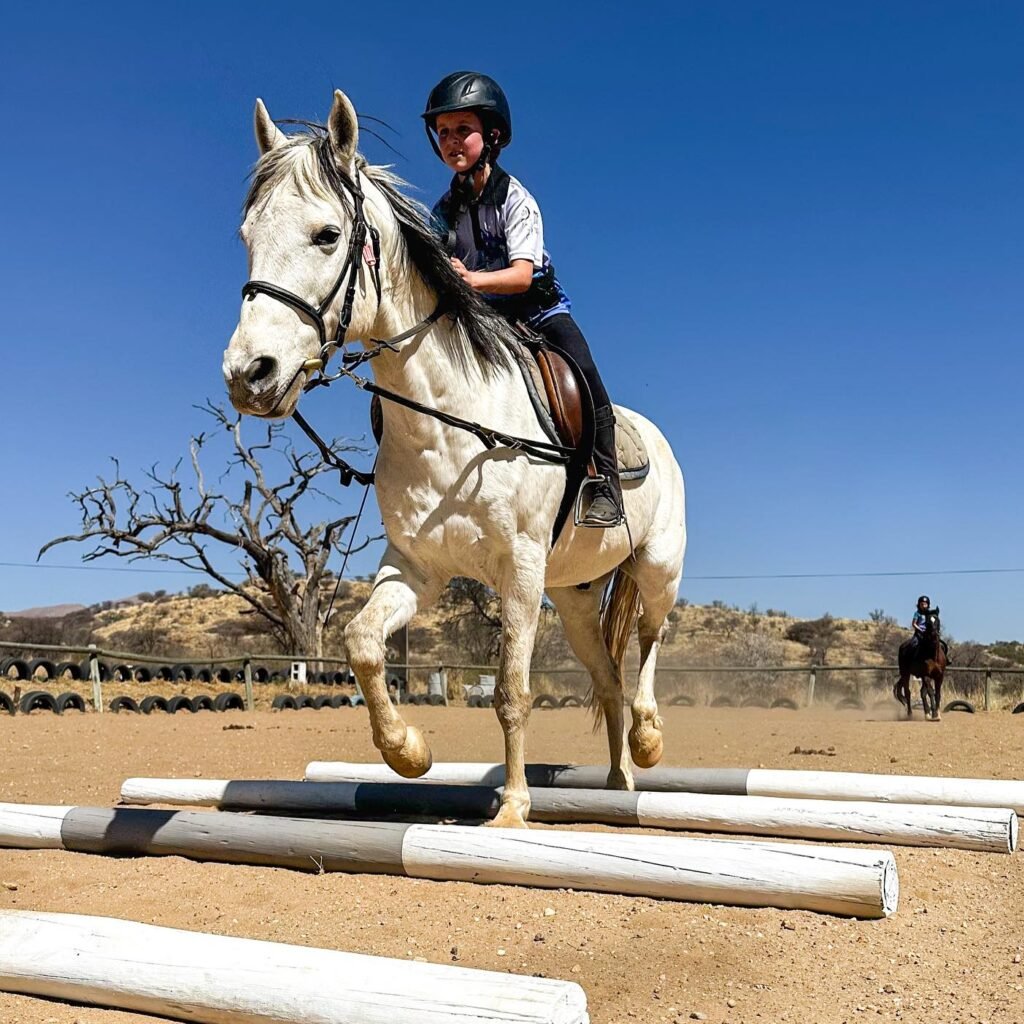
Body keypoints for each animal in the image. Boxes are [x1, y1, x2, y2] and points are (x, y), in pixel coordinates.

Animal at [223, 90, 687, 827]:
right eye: (247, 237)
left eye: (327, 235)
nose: (247, 375)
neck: (447, 421)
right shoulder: (418, 568)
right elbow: (361, 644)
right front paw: (408, 753)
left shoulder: (520, 571)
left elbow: (511, 691)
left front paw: (513, 808)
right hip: (575, 596)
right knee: (608, 679)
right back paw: (619, 788)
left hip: (656, 566)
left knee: (649, 641)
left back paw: (647, 740)